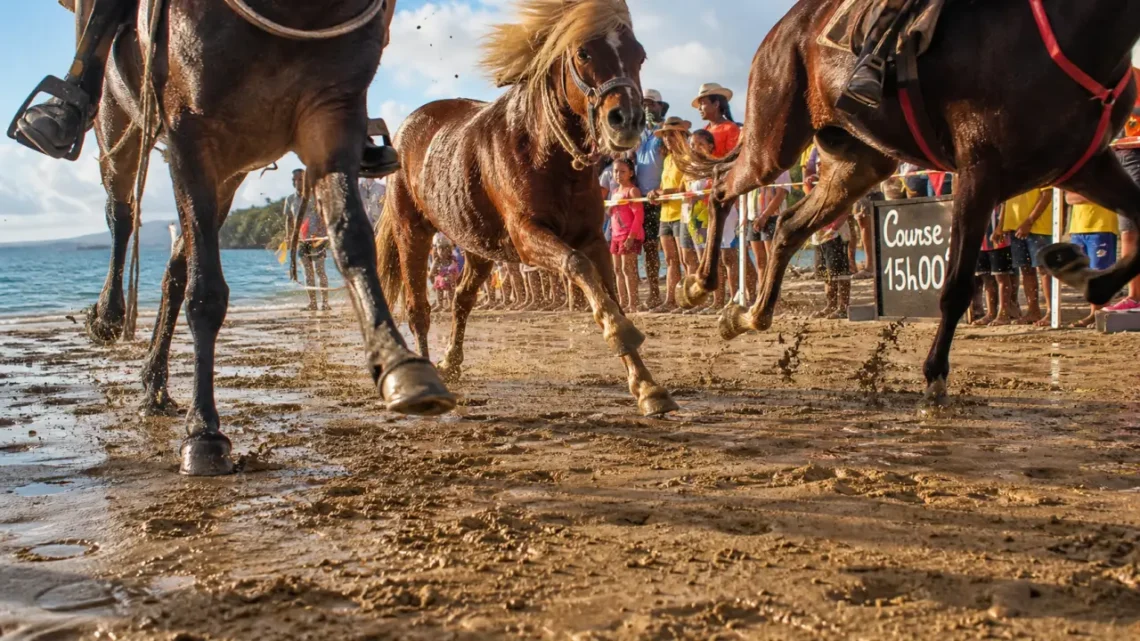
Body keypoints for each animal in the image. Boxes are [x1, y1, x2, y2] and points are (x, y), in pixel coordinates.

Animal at [75, 0, 456, 476]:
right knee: (122, 212)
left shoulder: (331, 116)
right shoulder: (188, 134)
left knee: (175, 271)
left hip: (227, 175)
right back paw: (108, 314)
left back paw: (154, 386)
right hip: (121, 128)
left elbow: (351, 240)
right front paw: (203, 433)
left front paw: (398, 362)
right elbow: (206, 292)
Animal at [374, 0, 679, 417]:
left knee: (461, 300)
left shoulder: (594, 239)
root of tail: (407, 128)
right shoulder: (527, 235)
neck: (545, 153)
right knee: (418, 309)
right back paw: (429, 381)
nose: (628, 121)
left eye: (640, 54)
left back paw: (450, 362)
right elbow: (577, 266)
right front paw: (623, 335)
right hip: (412, 232)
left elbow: (610, 292)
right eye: (583, 52)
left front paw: (647, 386)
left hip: (478, 247)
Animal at [675, 0, 1140, 402]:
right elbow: (956, 285)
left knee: (786, 226)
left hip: (856, 164)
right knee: (721, 189)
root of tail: (783, 29)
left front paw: (1082, 272)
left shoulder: (1085, 165)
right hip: (773, 142)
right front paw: (935, 375)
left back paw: (745, 314)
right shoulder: (980, 172)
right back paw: (698, 285)